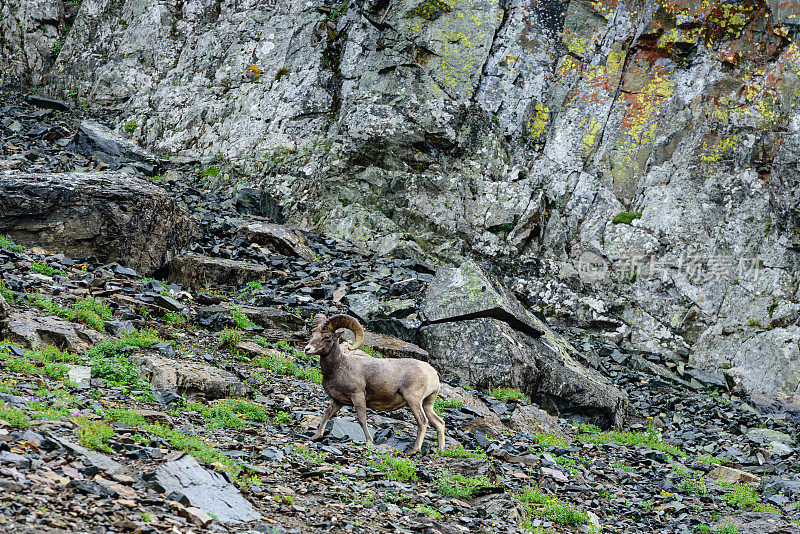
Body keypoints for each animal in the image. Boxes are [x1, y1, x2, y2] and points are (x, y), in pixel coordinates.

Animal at [304, 316, 446, 454]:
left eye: (326, 337)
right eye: (313, 334)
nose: (307, 349)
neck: (338, 366)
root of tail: (432, 372)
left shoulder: (357, 396)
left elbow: (362, 420)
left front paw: (370, 441)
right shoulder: (338, 401)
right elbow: (326, 414)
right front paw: (316, 436)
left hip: (413, 401)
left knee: (423, 422)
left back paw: (414, 450)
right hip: (427, 404)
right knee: (439, 423)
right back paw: (440, 450)